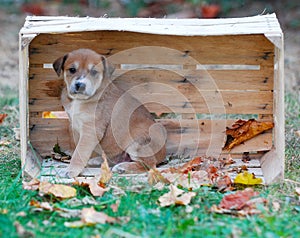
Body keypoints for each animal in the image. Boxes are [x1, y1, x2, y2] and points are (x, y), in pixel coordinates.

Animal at [53, 48, 166, 178]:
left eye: (94, 72)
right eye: (72, 69)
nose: (80, 85)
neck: (79, 100)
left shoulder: (90, 130)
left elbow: (79, 152)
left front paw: (71, 170)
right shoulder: (76, 127)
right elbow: (79, 149)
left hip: (138, 142)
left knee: (149, 164)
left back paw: (123, 168)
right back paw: (98, 161)